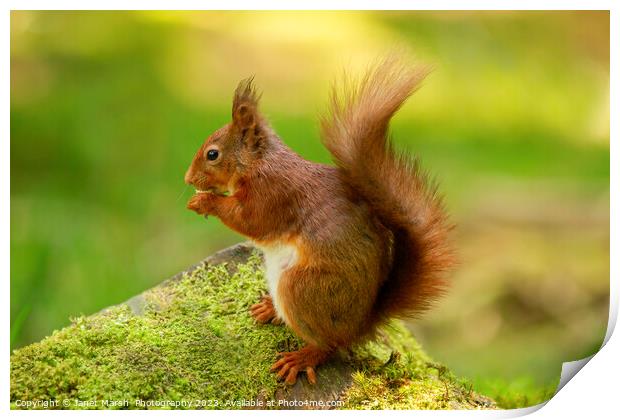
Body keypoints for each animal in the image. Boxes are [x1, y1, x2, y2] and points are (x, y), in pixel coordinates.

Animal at [182, 56, 452, 388]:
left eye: (212, 154)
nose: (188, 179)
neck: (258, 163)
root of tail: (359, 325)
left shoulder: (273, 194)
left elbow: (250, 221)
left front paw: (204, 202)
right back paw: (270, 309)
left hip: (303, 288)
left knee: (328, 345)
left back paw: (301, 358)